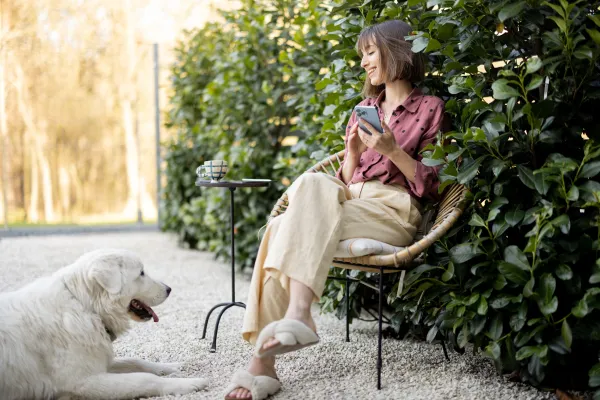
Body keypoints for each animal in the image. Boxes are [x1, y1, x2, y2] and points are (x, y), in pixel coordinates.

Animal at [0, 248, 209, 398]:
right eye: (141, 273)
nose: (169, 289)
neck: (85, 306)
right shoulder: (84, 382)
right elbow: (145, 379)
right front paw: (190, 383)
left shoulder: (100, 363)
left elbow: (136, 361)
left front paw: (171, 367)